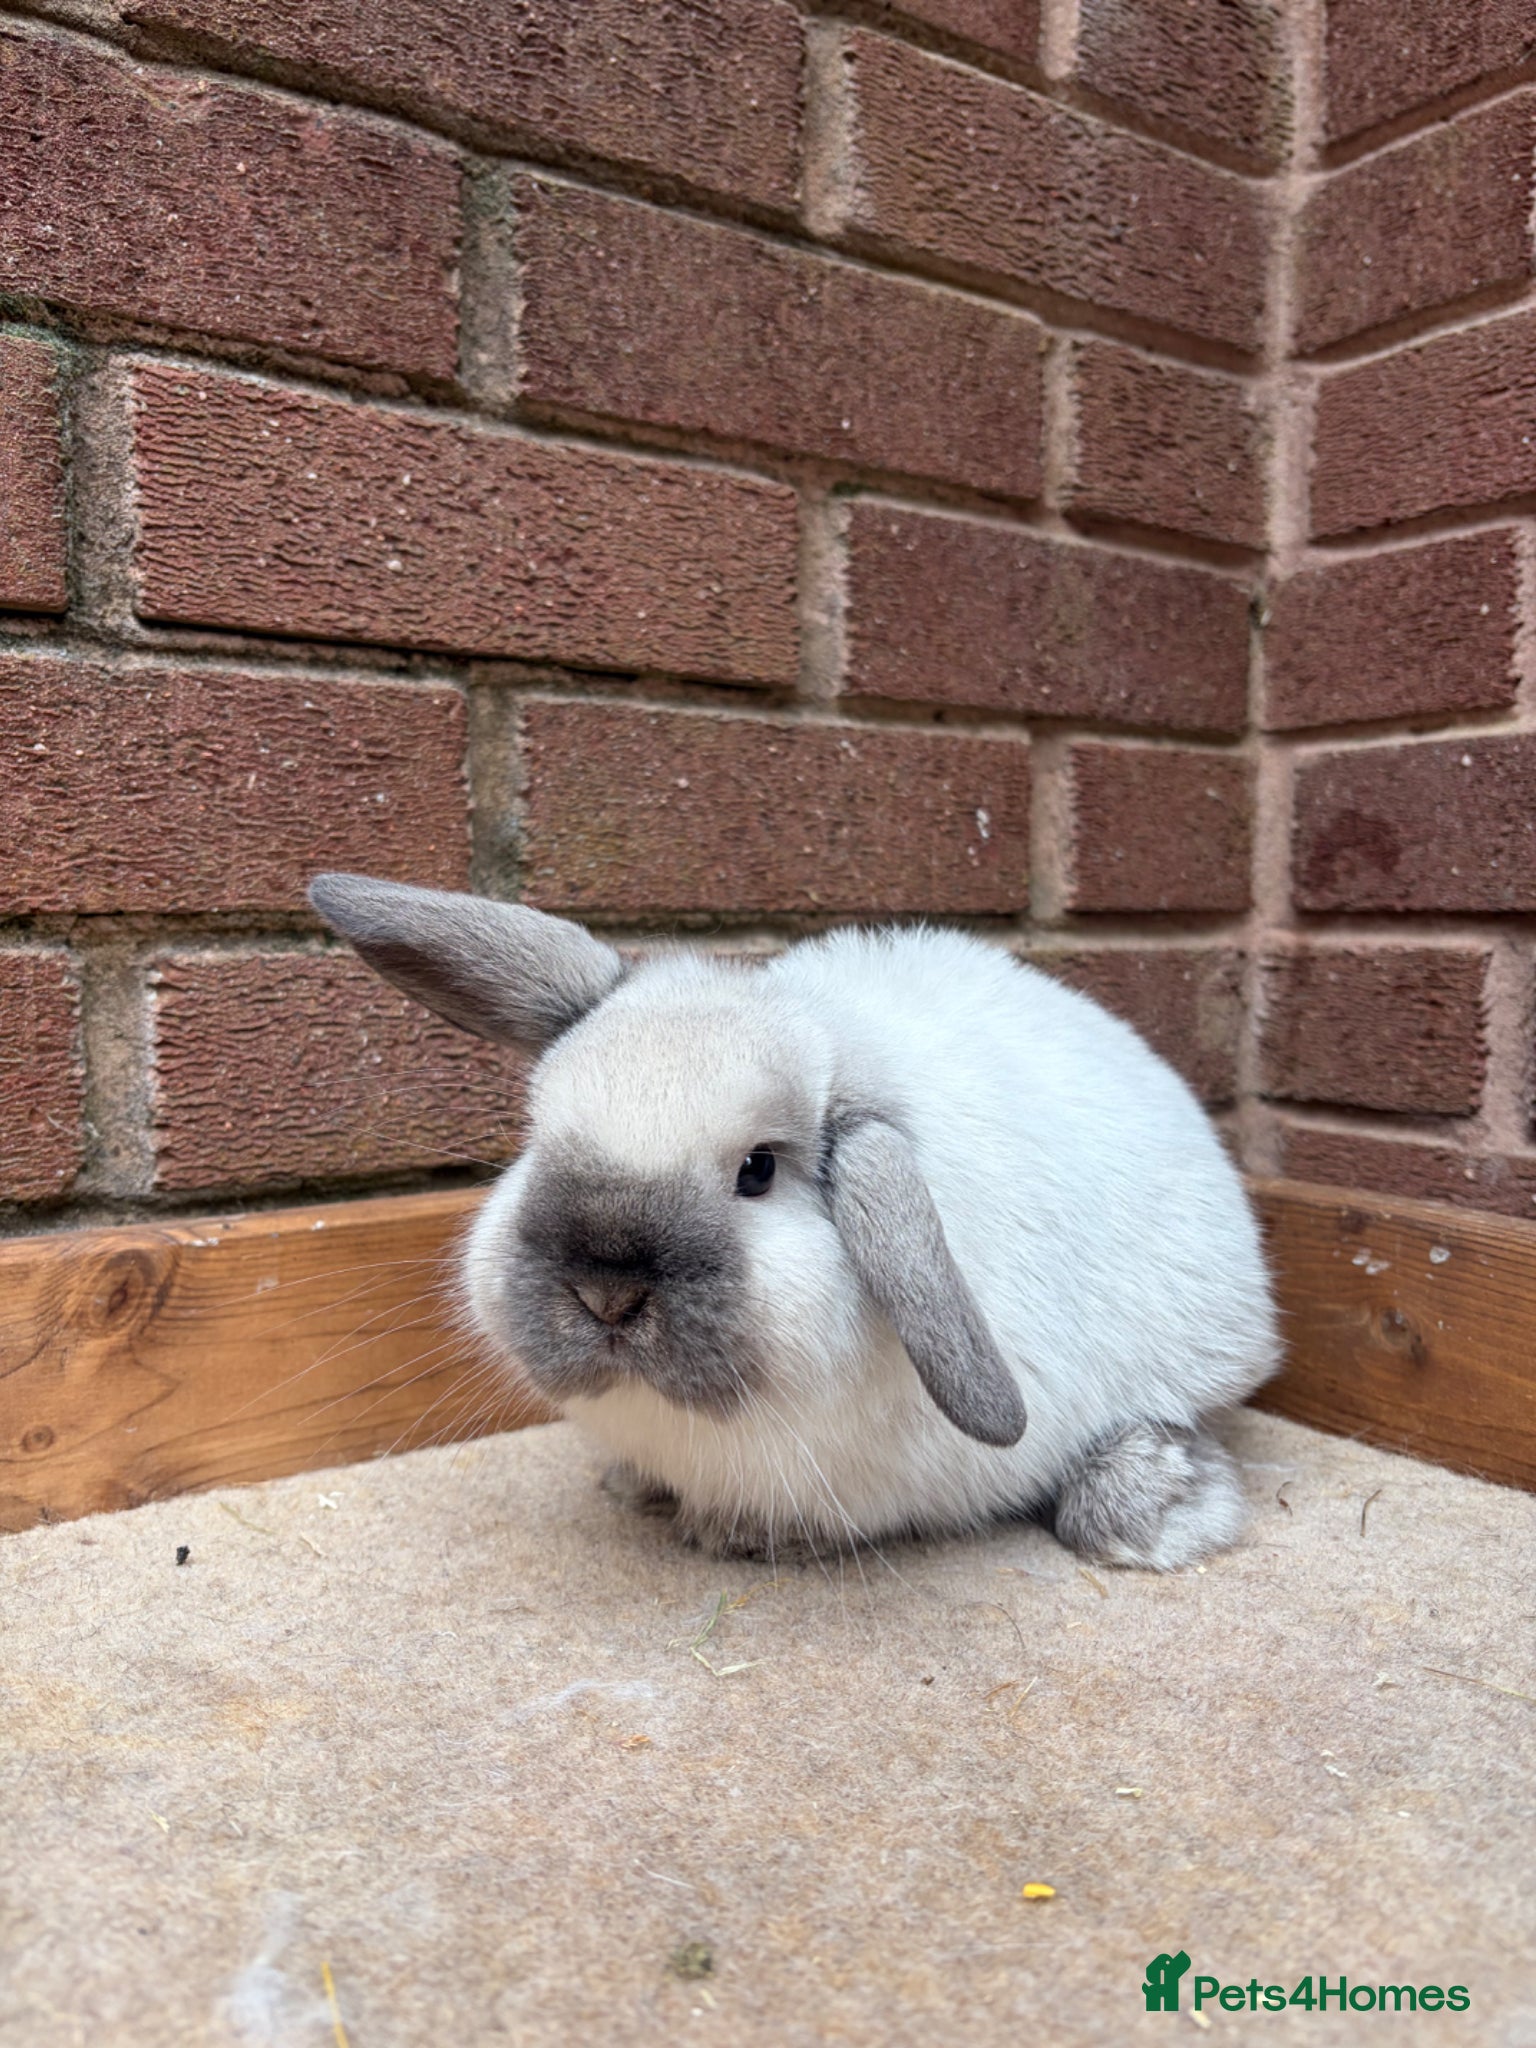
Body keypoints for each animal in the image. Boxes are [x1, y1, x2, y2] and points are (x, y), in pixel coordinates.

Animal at [309, 873, 1281, 1569]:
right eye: (539, 1136)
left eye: (758, 1170)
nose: (605, 1293)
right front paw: (642, 1489)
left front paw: (736, 1536)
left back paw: (1147, 1514)